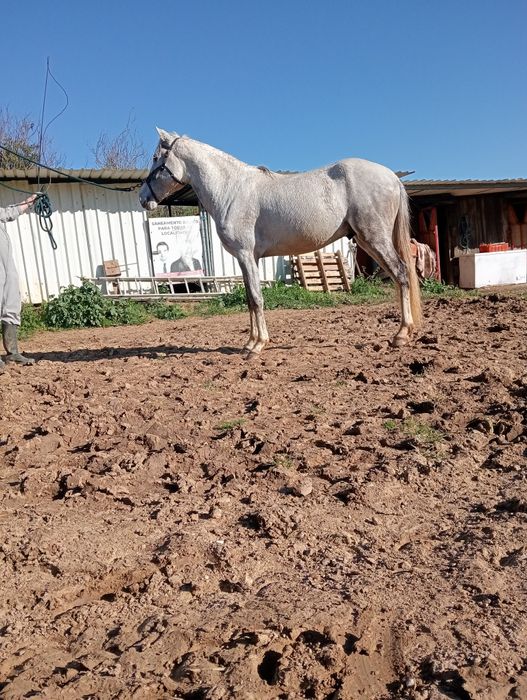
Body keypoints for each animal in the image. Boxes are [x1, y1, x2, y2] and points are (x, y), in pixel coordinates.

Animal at [139, 128, 422, 355]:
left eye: (155, 159)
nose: (143, 198)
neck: (231, 190)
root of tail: (391, 176)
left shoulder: (245, 254)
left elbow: (256, 297)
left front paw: (257, 346)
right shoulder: (246, 259)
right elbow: (250, 299)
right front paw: (249, 343)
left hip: (374, 239)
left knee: (401, 274)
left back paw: (401, 335)